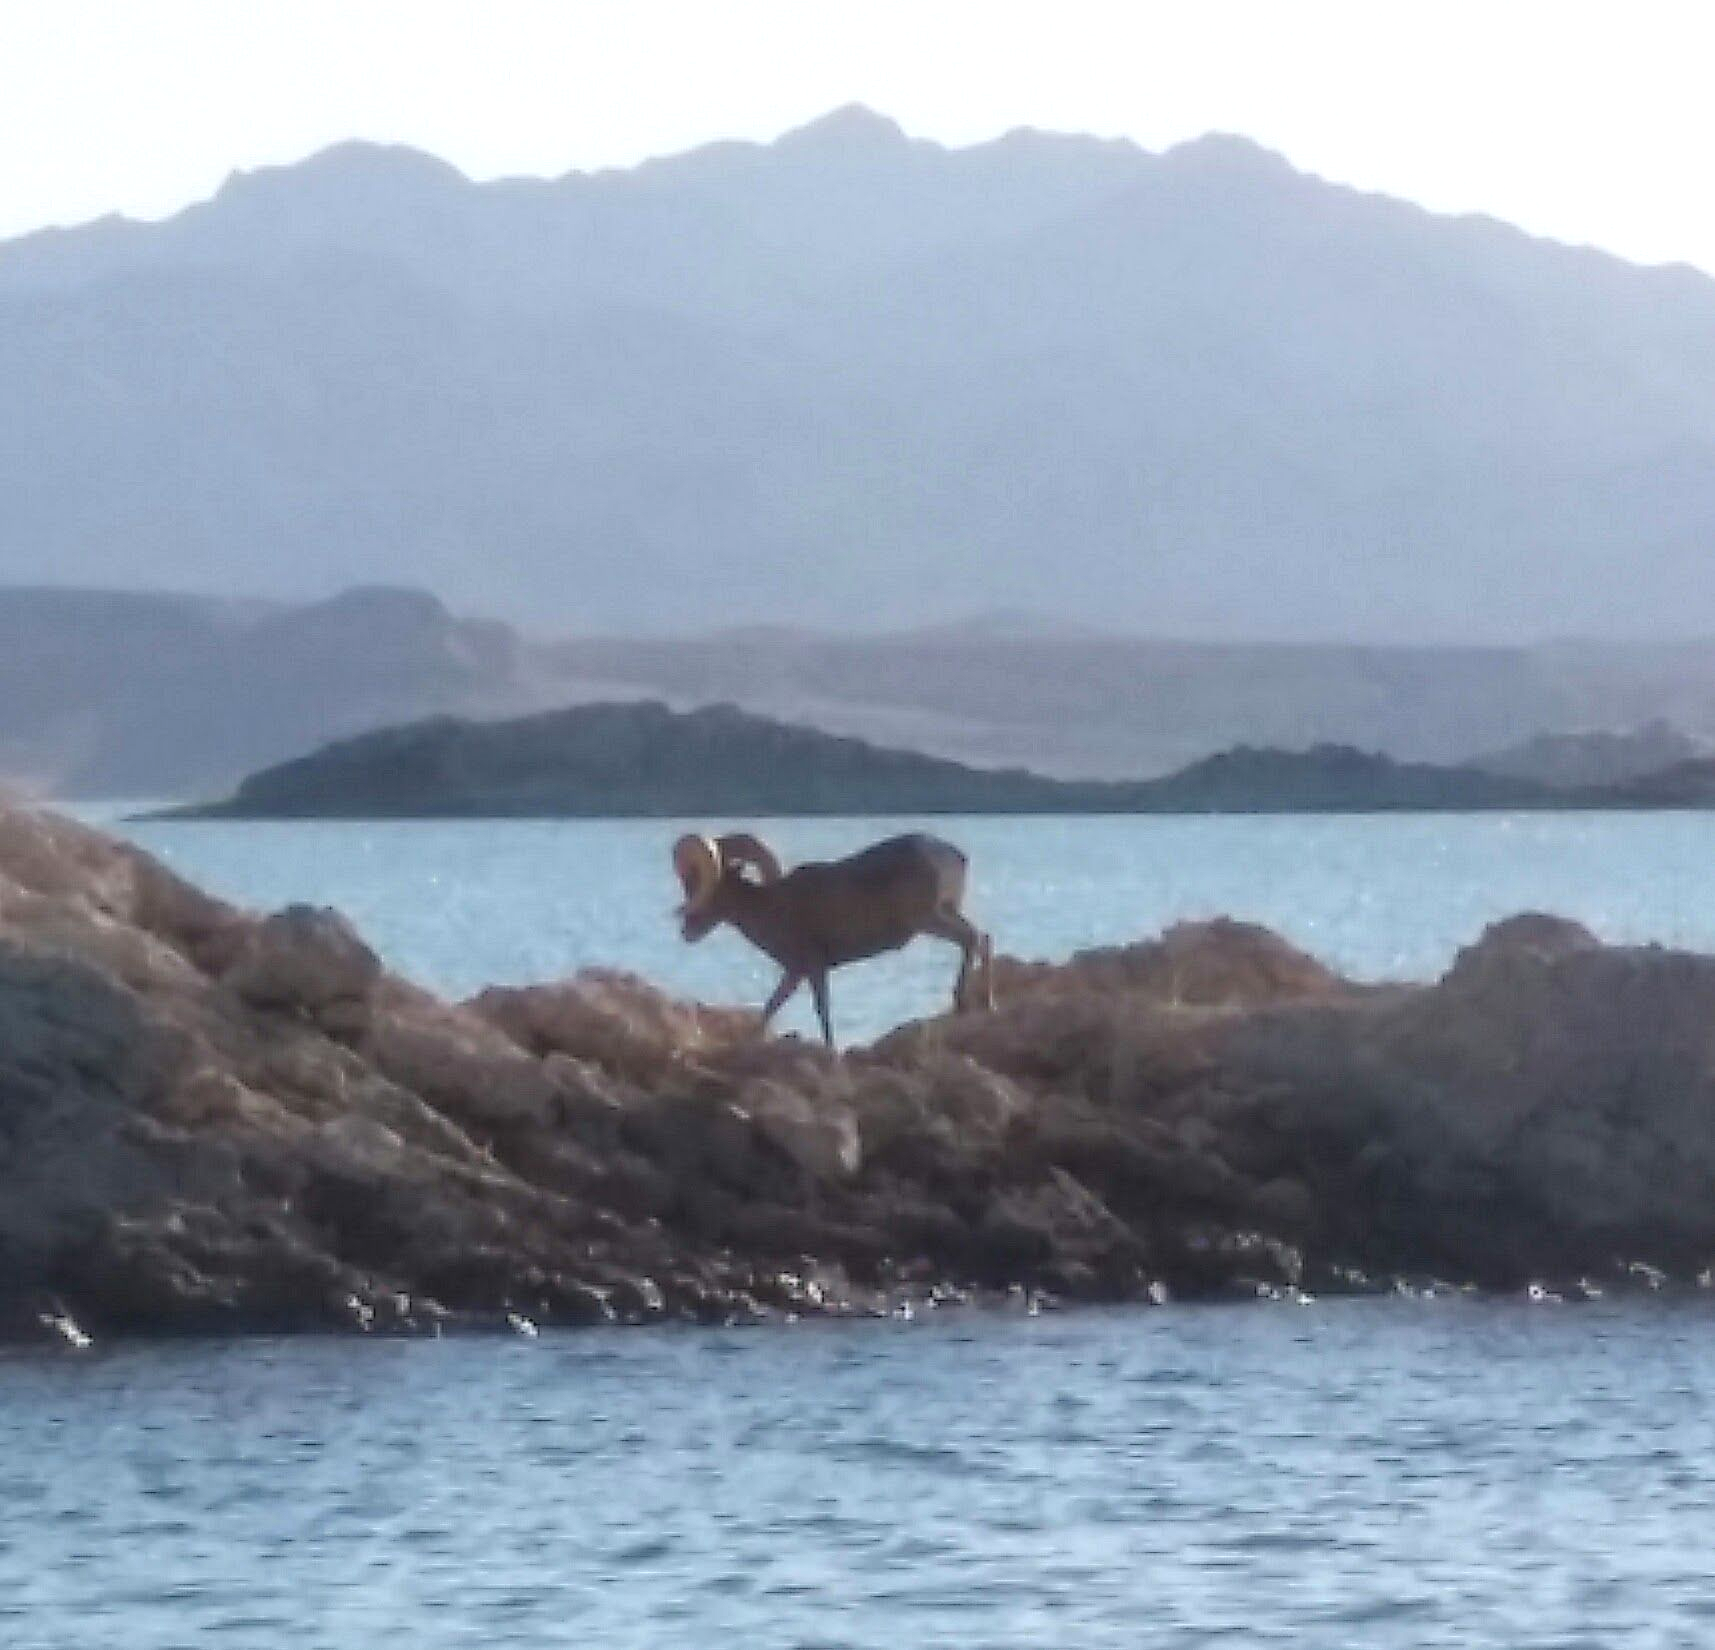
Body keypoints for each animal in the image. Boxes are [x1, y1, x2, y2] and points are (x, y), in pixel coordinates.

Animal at [671, 830, 994, 1047]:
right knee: (983, 937)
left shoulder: (811, 968)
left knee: (971, 938)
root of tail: (952, 856)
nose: (686, 929)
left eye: (701, 882)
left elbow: (821, 1011)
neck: (771, 907)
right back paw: (984, 1004)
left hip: (929, 919)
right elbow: (771, 1007)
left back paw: (965, 1003)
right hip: (945, 913)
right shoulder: (796, 973)